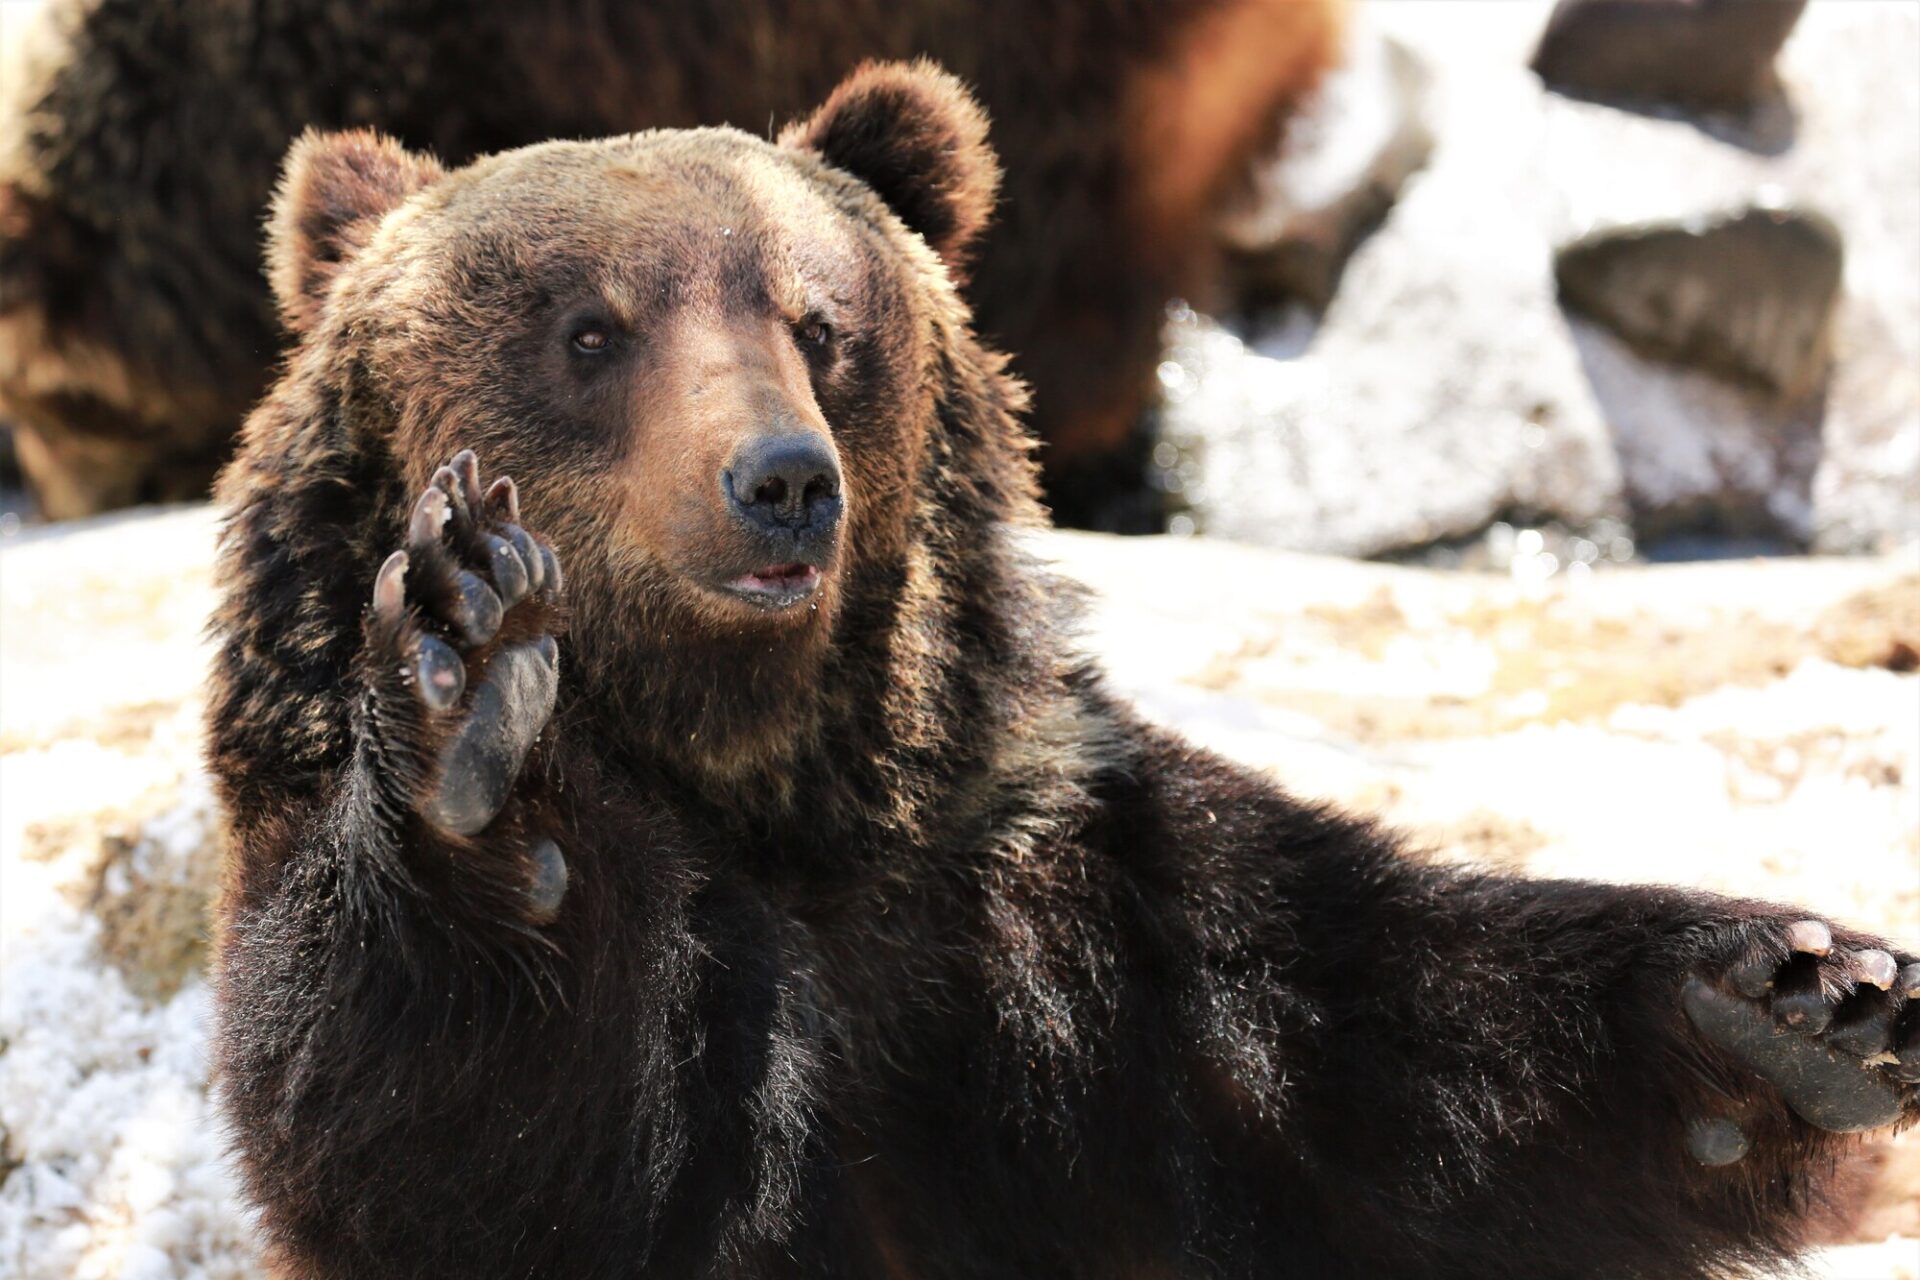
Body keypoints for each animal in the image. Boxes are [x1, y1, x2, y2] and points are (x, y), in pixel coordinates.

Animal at [202, 62, 1912, 1280]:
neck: (761, 778)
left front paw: (1795, 998)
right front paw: (482, 723)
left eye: (820, 323)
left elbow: (1402, 1060)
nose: (782, 482)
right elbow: (451, 1128)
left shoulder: (1057, 911)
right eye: (589, 329)